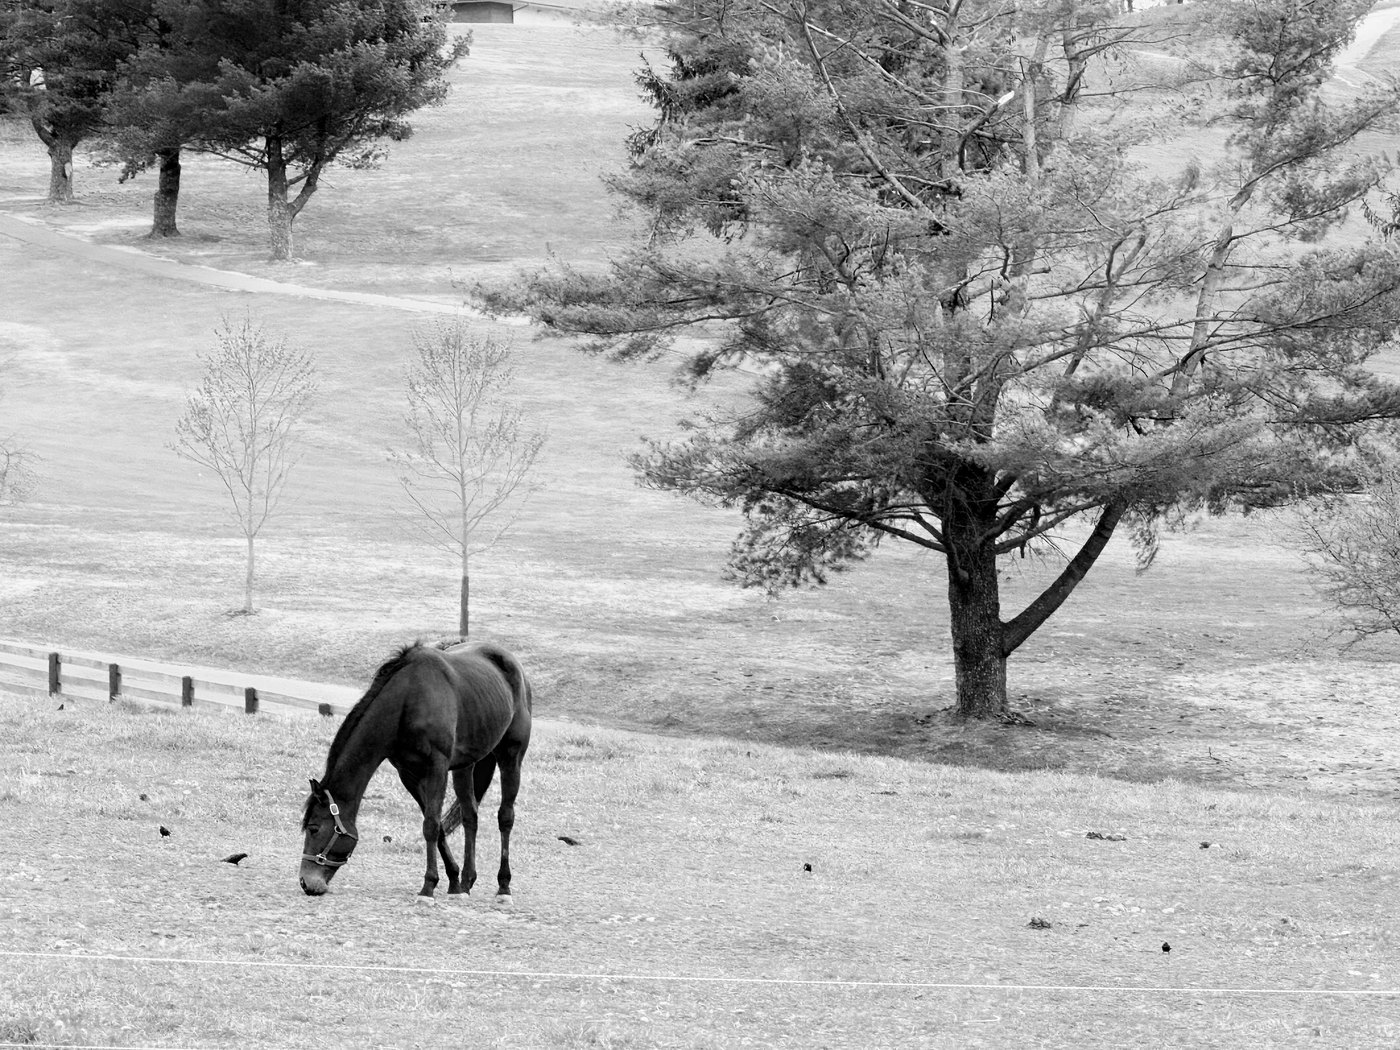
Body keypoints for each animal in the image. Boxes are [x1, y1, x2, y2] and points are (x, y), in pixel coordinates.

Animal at [299, 639, 532, 899]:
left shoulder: (437, 768)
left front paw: (428, 886)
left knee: (505, 817)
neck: (409, 700)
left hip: (511, 756)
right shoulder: (409, 775)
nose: (306, 882)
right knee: (470, 816)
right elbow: (437, 826)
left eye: (314, 828)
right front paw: (452, 881)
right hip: (465, 766)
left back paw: (504, 885)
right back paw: (466, 882)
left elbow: (430, 825)